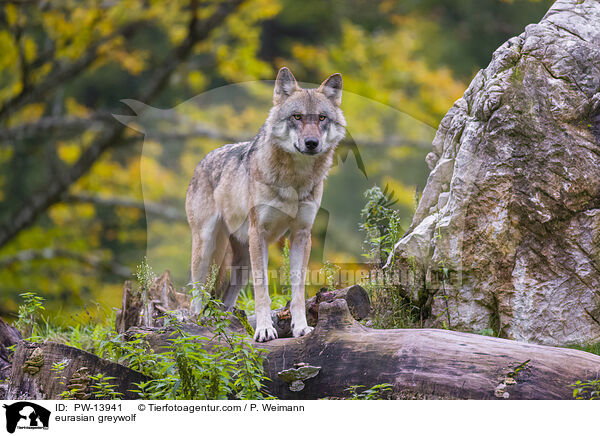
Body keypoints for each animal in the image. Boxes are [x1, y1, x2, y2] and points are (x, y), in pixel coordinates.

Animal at [185, 67, 344, 340]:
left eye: (322, 118)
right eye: (297, 116)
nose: (312, 143)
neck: (295, 179)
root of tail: (202, 161)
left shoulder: (301, 235)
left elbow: (298, 291)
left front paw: (301, 327)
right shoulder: (259, 233)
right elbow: (263, 291)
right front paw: (264, 330)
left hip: (243, 260)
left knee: (225, 300)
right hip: (208, 248)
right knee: (196, 296)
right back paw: (197, 325)